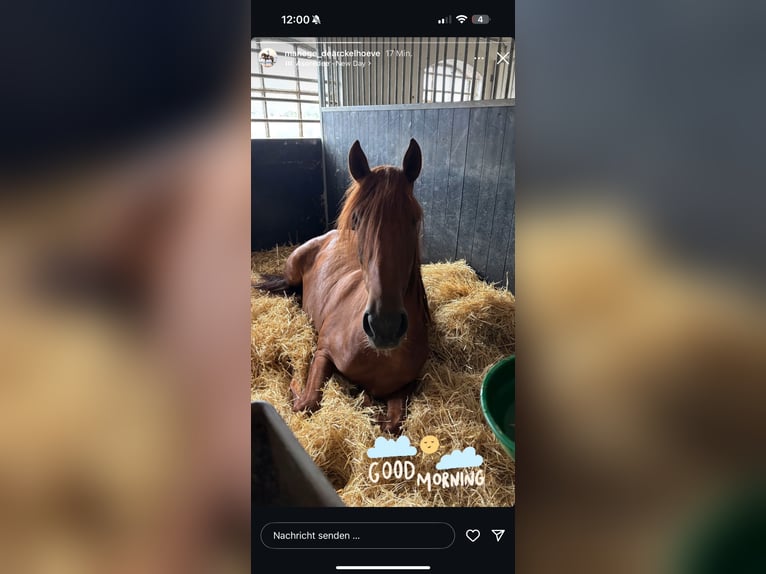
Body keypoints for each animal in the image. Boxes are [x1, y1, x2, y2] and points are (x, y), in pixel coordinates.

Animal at [255, 139, 430, 433]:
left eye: (414, 219)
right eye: (357, 219)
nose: (385, 327)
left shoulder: (406, 386)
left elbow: (393, 424)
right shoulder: (323, 351)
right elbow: (308, 402)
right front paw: (295, 385)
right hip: (292, 270)